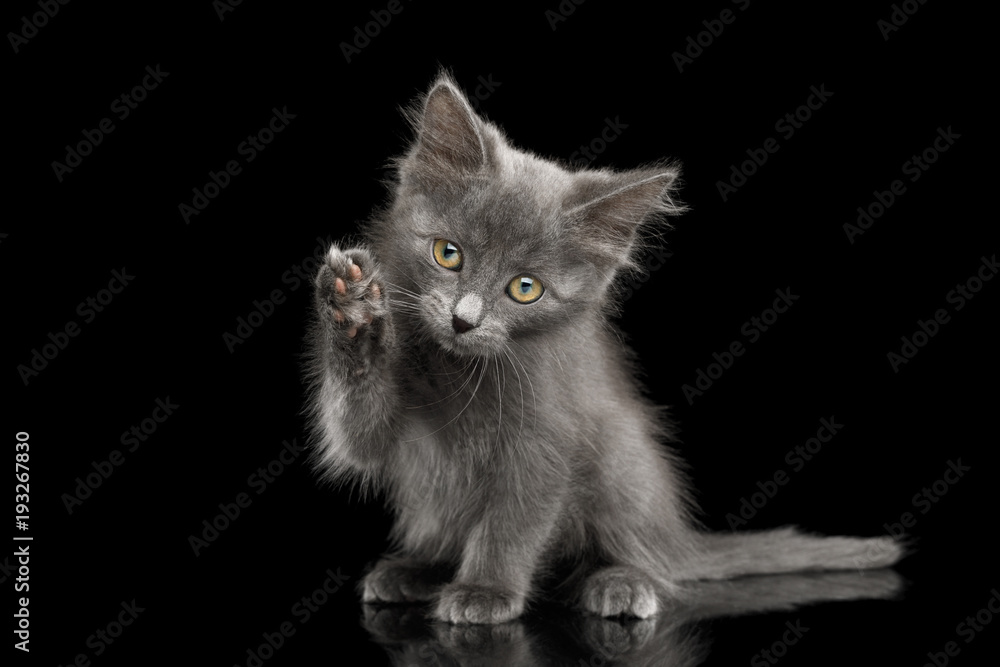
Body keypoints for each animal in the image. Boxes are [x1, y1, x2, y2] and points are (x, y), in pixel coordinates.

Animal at [300, 73, 904, 628]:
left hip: (621, 457)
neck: (460, 368)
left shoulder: (549, 436)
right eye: (448, 254)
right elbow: (360, 434)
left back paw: (622, 582)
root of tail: (678, 539)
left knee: (651, 560)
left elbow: (514, 520)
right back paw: (414, 571)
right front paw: (353, 313)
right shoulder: (395, 430)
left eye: (525, 288)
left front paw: (487, 591)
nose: (463, 319)